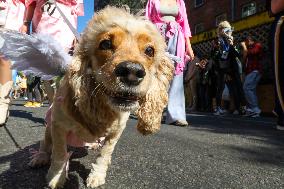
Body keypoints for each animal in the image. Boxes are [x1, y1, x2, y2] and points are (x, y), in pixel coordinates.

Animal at [29, 6, 175, 189]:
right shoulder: (58, 125)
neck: (104, 106)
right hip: (49, 128)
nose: (132, 72)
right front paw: (56, 177)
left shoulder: (116, 132)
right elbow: (60, 153)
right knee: (45, 144)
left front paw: (96, 176)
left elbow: (104, 154)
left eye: (150, 50)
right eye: (105, 44)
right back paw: (40, 157)